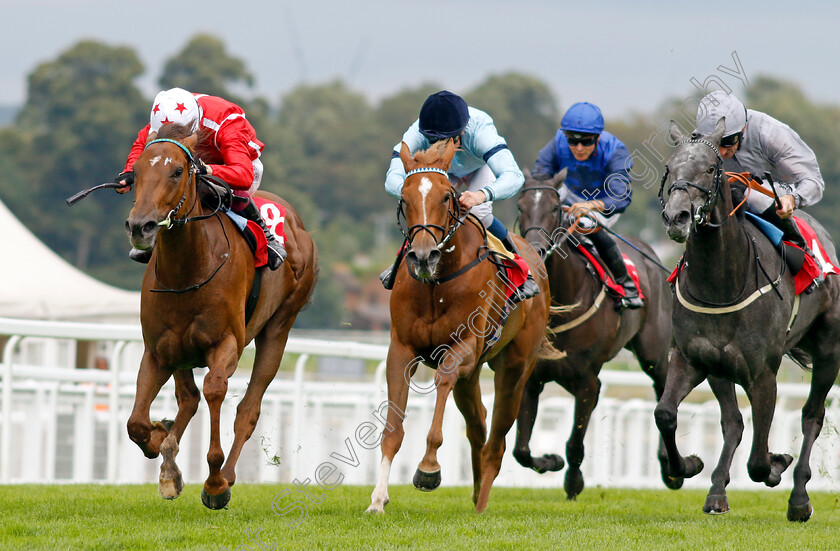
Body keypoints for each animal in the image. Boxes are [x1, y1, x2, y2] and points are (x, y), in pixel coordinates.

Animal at [124, 125, 318, 508]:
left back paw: (225, 476)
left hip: (279, 327)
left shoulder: (225, 343)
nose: (141, 226)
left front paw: (214, 484)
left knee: (247, 409)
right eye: (135, 172)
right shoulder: (158, 351)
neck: (188, 269)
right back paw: (169, 462)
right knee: (188, 399)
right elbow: (136, 422)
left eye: (177, 171)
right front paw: (160, 441)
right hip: (181, 352)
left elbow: (215, 389)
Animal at [366, 140, 552, 516]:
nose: (423, 256)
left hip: (515, 367)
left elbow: (443, 379)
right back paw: (476, 489)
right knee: (478, 424)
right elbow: (392, 428)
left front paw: (428, 469)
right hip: (474, 375)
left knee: (497, 438)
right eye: (404, 198)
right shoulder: (401, 350)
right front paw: (378, 499)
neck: (436, 283)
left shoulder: (464, 347)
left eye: (445, 198)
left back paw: (481, 506)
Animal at [516, 168, 672, 500]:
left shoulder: (589, 383)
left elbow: (575, 444)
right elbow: (521, 449)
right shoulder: (532, 379)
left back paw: (674, 467)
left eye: (555, 208)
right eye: (520, 207)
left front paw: (573, 482)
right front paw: (550, 461)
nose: (535, 251)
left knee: (663, 391)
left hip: (653, 352)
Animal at [656, 117, 840, 520]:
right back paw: (716, 492)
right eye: (670, 168)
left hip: (828, 352)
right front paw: (688, 465)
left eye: (711, 169)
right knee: (733, 423)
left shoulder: (764, 374)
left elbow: (758, 461)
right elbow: (665, 414)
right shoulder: (691, 358)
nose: (676, 217)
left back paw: (799, 498)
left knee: (812, 415)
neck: (722, 283)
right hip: (720, 370)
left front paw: (776, 464)